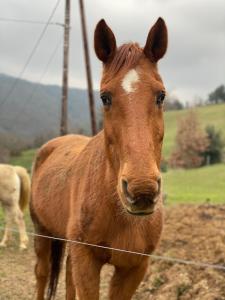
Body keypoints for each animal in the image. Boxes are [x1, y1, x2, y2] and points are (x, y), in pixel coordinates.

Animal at [30, 17, 167, 298]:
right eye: (105, 97)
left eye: (161, 95)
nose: (142, 190)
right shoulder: (87, 260)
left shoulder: (134, 268)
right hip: (42, 232)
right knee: (42, 274)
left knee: (67, 278)